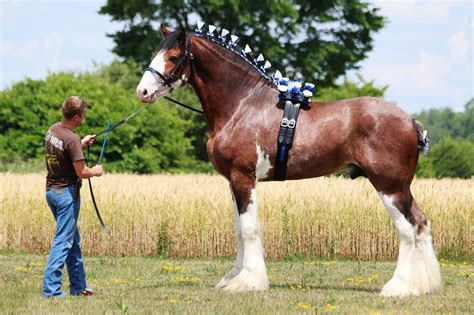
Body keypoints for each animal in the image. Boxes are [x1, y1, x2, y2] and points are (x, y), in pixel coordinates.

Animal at [135, 25, 442, 298]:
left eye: (173, 56)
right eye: (156, 52)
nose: (143, 92)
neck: (242, 104)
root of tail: (410, 120)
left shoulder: (243, 177)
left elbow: (249, 228)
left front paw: (248, 282)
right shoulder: (234, 181)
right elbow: (239, 229)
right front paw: (233, 278)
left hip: (389, 186)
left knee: (407, 229)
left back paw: (399, 287)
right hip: (402, 188)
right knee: (421, 223)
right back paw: (425, 285)